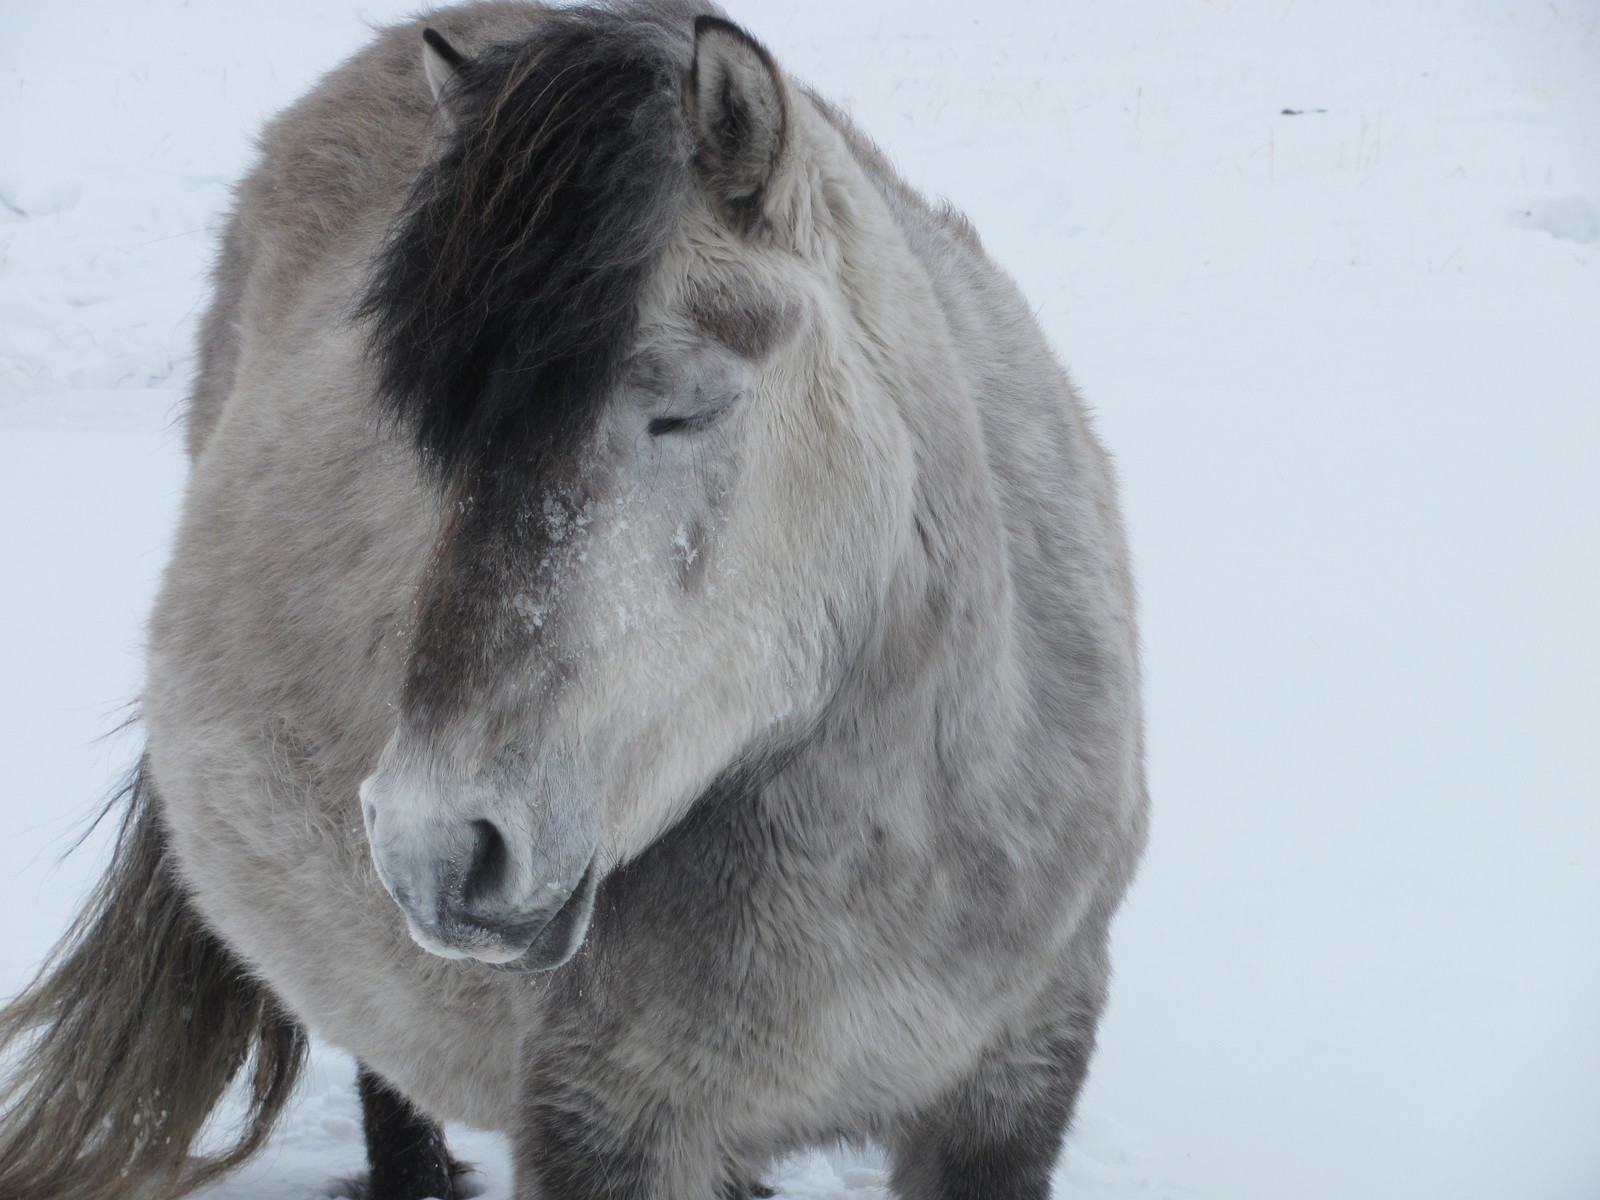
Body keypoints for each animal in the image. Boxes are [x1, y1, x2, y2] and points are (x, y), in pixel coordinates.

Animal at [0, 4, 1145, 1196]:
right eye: (436, 437)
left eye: (685, 408)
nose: (432, 847)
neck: (903, 857)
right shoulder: (606, 1122)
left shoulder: (1011, 1088)